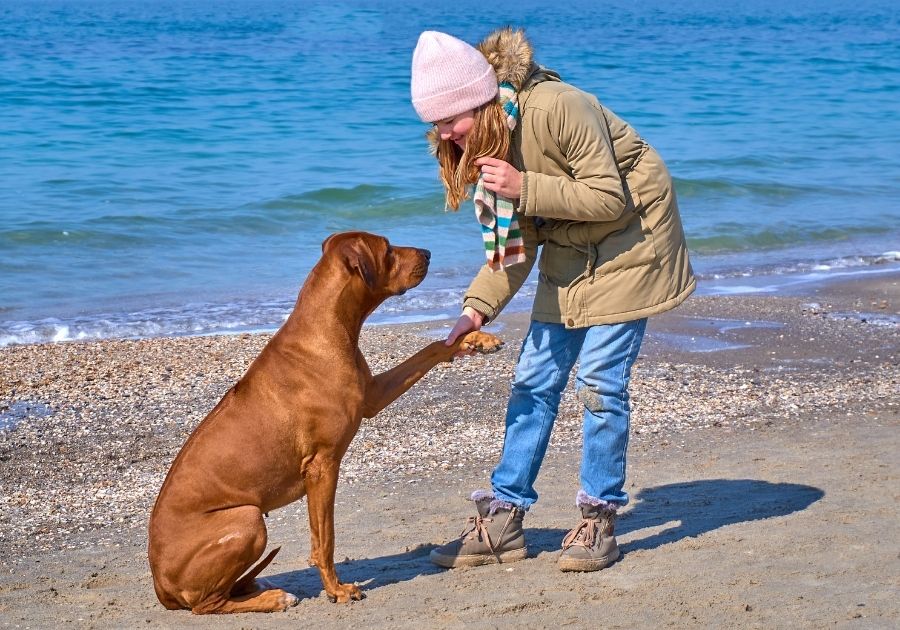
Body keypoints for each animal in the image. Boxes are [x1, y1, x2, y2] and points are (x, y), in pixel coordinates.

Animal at [145, 233, 502, 616]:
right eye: (388, 248)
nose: (428, 253)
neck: (329, 327)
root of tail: (160, 586)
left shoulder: (371, 397)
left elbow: (432, 348)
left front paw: (476, 338)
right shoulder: (322, 466)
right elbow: (325, 540)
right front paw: (337, 589)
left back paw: (257, 586)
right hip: (247, 519)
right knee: (205, 604)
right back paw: (273, 598)